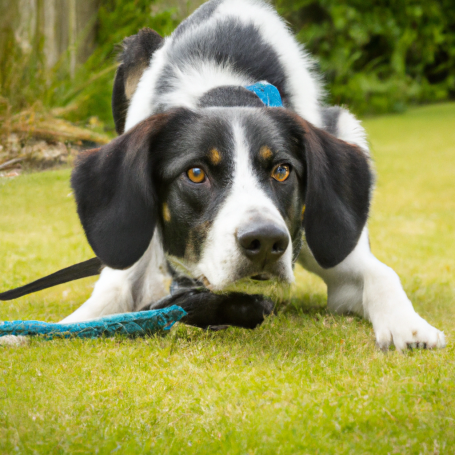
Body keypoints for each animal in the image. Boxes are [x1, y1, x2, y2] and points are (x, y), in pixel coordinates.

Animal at [7, 0, 446, 352]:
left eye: (282, 170)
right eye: (196, 173)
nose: (266, 241)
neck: (223, 90)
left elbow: (380, 273)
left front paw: (409, 326)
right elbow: (106, 295)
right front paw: (34, 331)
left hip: (346, 128)